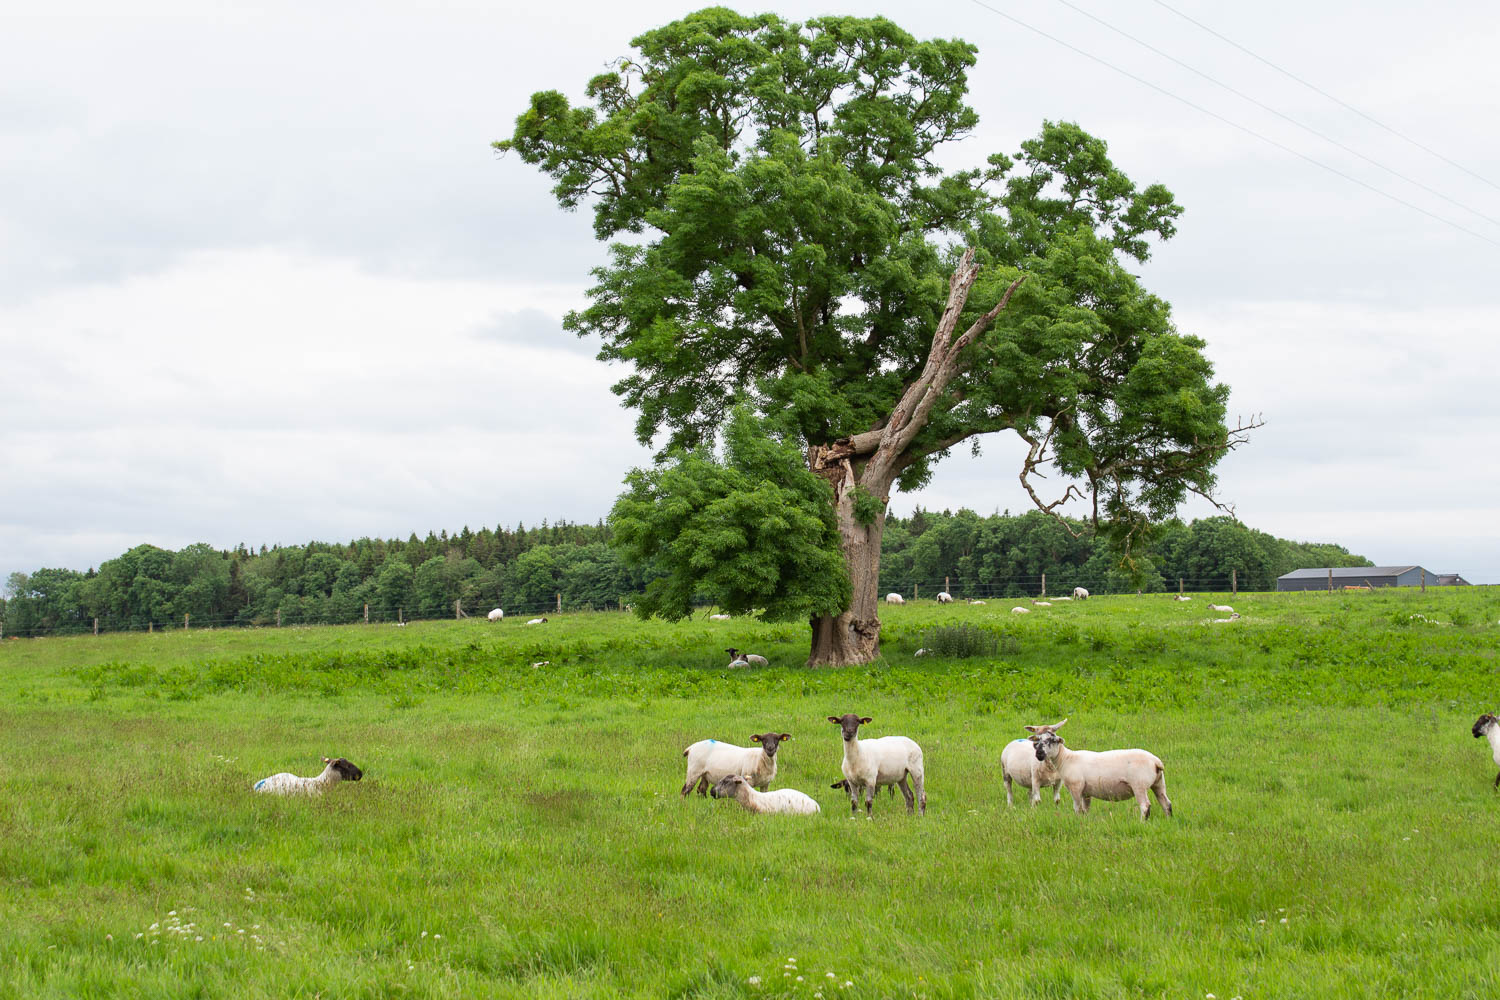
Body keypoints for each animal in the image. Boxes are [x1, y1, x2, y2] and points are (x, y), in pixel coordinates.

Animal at [1030, 731, 1171, 820]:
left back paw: (1142, 822)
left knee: (1145, 806)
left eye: (1052, 740)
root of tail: (1156, 761)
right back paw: (1168, 820)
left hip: (1139, 785)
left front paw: (1077, 821)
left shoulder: (1076, 787)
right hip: (1159, 783)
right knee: (1166, 803)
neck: (1066, 758)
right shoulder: (1086, 792)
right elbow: (1085, 809)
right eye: (1039, 740)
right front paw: (1085, 822)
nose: (1038, 754)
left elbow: (1077, 808)